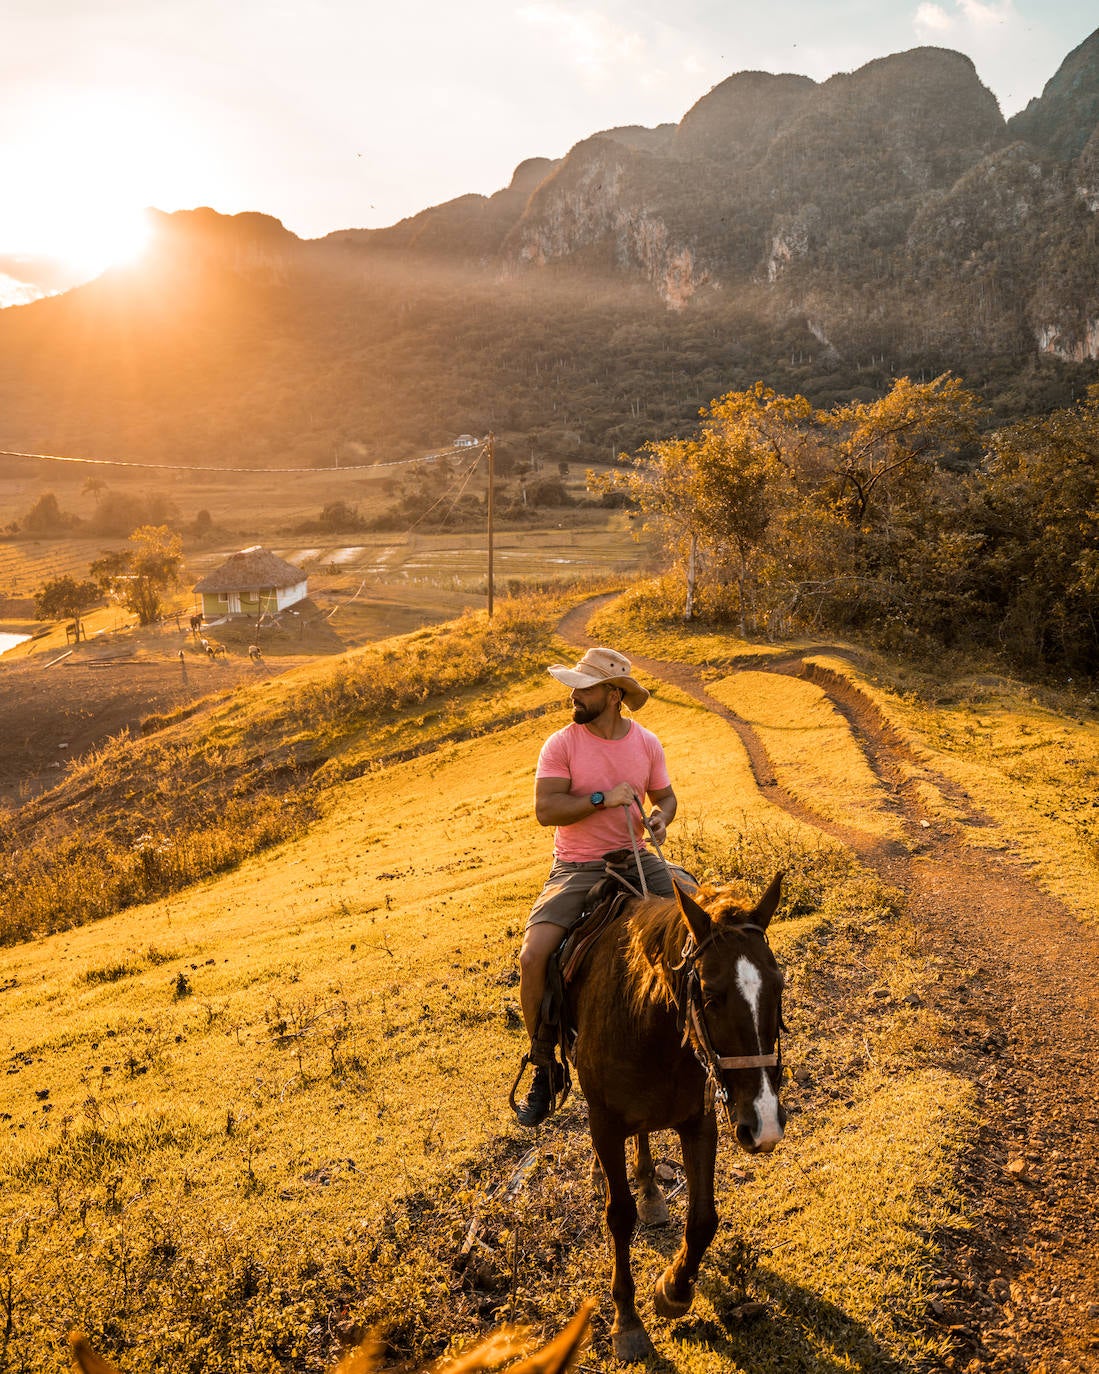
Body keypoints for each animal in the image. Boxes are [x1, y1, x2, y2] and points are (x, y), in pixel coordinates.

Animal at [571, 873, 785, 1357]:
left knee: (644, 1139)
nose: (764, 1124)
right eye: (709, 994)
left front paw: (673, 1289)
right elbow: (619, 1215)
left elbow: (704, 1218)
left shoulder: (699, 1120)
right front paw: (627, 1320)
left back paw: (651, 1190)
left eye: (779, 986)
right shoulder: (606, 1125)